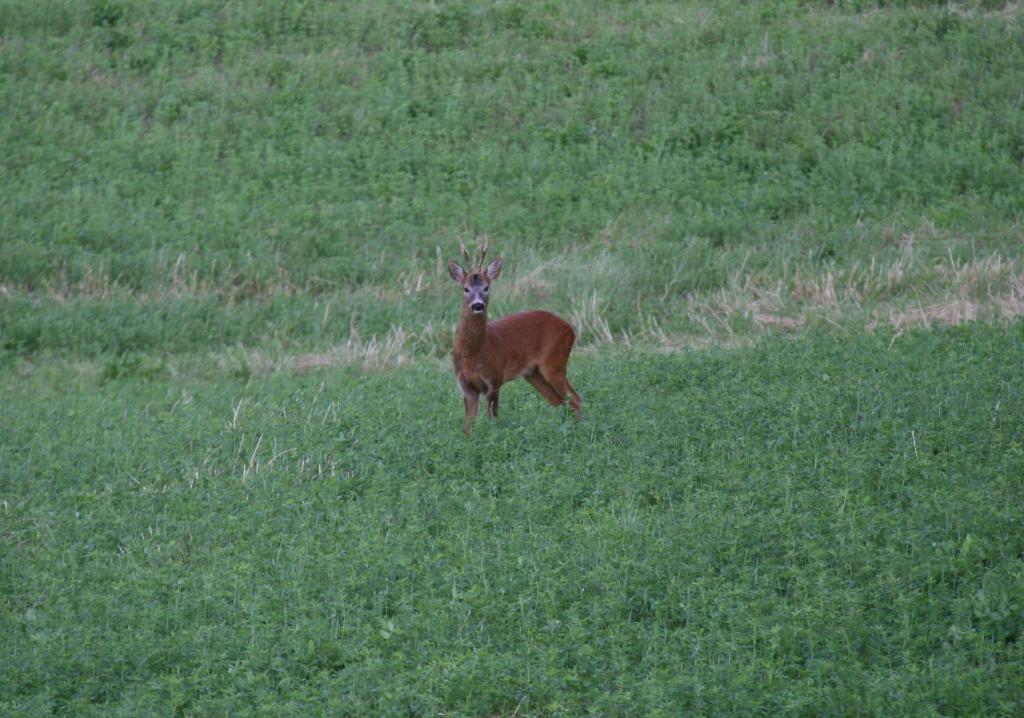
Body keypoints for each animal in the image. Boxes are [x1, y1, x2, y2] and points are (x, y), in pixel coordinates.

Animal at [450, 237, 585, 434]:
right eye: (465, 289)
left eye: (486, 287)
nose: (477, 305)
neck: (473, 355)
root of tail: (570, 328)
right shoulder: (465, 386)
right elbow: (469, 427)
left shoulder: (494, 380)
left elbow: (493, 421)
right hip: (533, 373)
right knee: (560, 402)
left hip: (554, 362)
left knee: (575, 399)